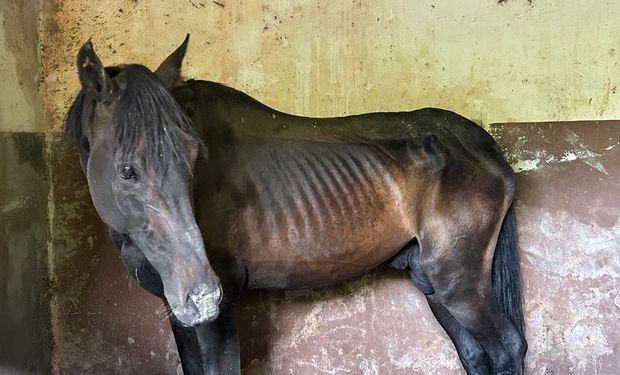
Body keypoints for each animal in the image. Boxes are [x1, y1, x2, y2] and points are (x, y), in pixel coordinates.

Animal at [64, 36, 528, 375]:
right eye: (127, 170)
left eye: (195, 156)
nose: (203, 294)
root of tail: (478, 139)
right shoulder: (179, 314)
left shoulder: (219, 314)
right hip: (431, 280)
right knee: (477, 356)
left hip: (458, 280)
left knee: (506, 349)